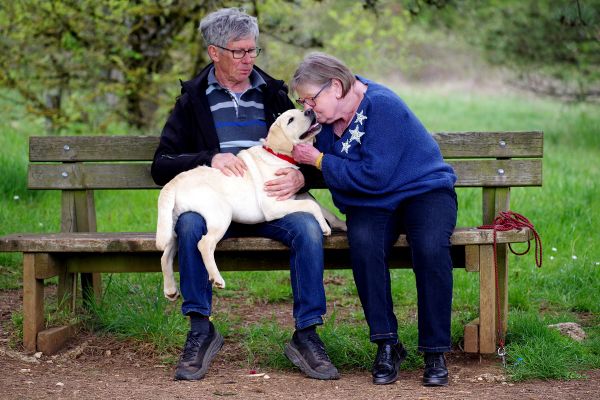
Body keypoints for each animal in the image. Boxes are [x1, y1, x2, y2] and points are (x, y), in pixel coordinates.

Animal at [156, 109, 342, 300]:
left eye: (301, 110)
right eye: (291, 120)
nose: (310, 110)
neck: (278, 155)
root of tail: (174, 182)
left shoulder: (296, 192)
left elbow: (322, 208)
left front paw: (341, 224)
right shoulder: (274, 205)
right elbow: (312, 206)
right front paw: (325, 227)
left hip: (171, 226)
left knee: (165, 254)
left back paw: (170, 290)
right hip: (221, 214)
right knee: (204, 244)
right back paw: (217, 279)